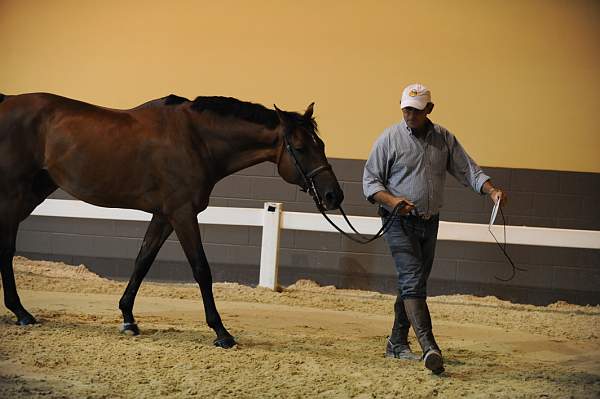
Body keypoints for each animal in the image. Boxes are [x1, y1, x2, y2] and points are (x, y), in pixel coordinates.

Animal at [0, 92, 342, 348]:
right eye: (300, 148)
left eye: (322, 145)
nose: (333, 195)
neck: (196, 140)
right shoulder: (182, 214)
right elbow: (201, 269)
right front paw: (222, 333)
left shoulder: (164, 216)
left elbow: (142, 261)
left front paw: (128, 319)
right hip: (13, 193)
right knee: (6, 249)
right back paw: (21, 313)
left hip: (33, 191)